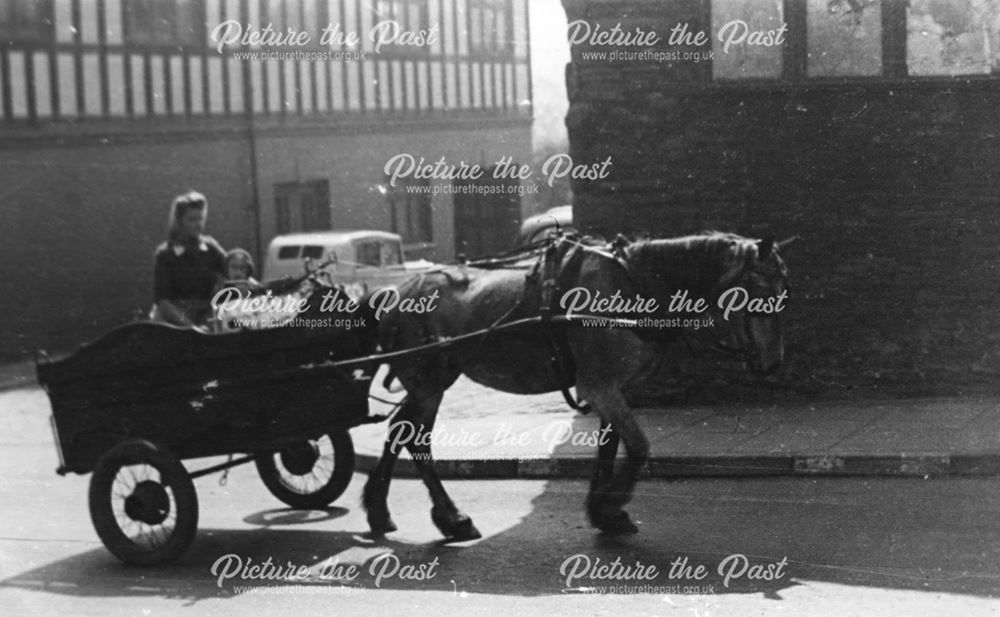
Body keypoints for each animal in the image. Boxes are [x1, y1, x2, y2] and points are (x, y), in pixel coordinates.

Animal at [364, 231, 792, 540]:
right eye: (761, 293)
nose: (773, 363)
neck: (631, 284)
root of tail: (399, 291)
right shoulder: (599, 386)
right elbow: (638, 446)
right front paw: (612, 506)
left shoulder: (613, 388)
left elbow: (610, 447)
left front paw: (604, 510)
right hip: (429, 380)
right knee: (414, 438)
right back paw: (452, 518)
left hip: (431, 380)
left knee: (400, 431)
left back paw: (380, 510)